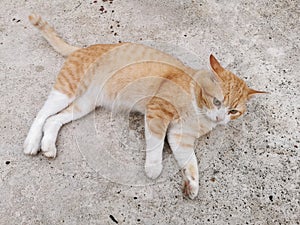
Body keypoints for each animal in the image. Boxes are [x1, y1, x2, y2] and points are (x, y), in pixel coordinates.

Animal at [24, 14, 268, 199]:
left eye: (233, 111)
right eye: (217, 101)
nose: (220, 118)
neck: (198, 108)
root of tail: (81, 48)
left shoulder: (180, 137)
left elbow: (191, 162)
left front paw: (192, 184)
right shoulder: (158, 112)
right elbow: (156, 143)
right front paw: (153, 168)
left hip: (84, 105)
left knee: (53, 120)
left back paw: (48, 145)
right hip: (66, 91)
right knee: (42, 114)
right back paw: (32, 142)